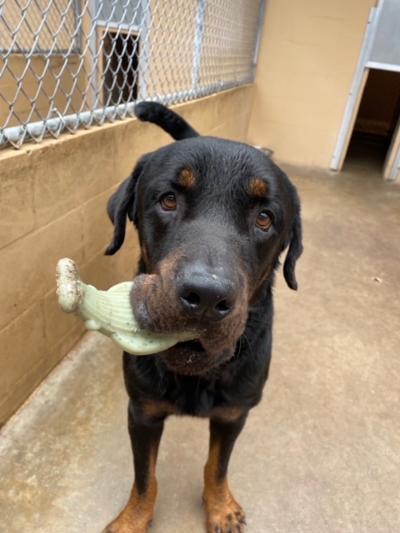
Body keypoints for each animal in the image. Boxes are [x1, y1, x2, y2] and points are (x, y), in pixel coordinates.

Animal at [103, 102, 304, 528]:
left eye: (265, 218)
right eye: (168, 200)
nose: (207, 296)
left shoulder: (233, 413)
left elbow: (217, 466)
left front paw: (220, 507)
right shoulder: (142, 411)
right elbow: (144, 478)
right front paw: (133, 520)